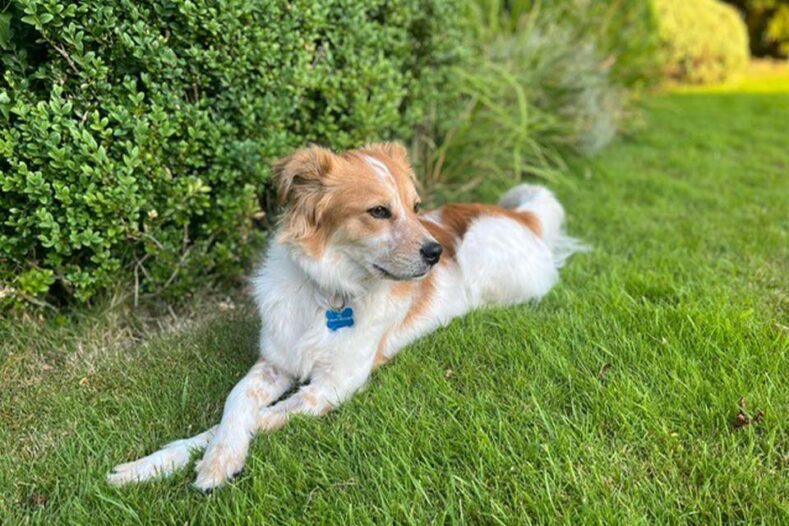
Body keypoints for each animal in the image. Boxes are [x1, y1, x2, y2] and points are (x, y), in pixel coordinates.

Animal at [107, 142, 580, 492]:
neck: (329, 294)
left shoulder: (331, 388)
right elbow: (235, 404)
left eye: (416, 207)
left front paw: (209, 461)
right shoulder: (274, 362)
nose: (436, 252)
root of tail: (522, 216)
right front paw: (160, 464)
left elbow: (256, 418)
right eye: (379, 211)